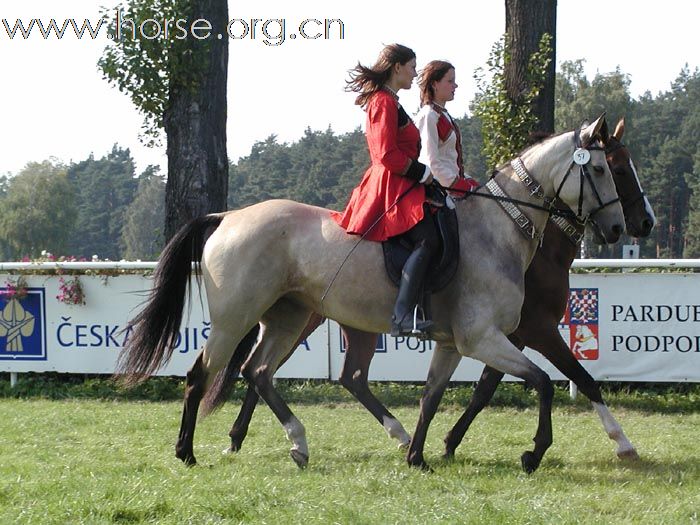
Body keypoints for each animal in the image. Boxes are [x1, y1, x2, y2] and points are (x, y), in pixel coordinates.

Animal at [116, 116, 624, 472]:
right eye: (601, 168)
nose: (620, 228)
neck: (497, 230)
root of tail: (228, 216)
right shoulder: (484, 338)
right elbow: (543, 382)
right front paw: (534, 453)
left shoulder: (454, 343)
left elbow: (432, 397)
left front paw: (417, 457)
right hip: (234, 319)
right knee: (200, 375)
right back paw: (186, 452)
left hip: (287, 317)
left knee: (258, 371)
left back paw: (299, 443)